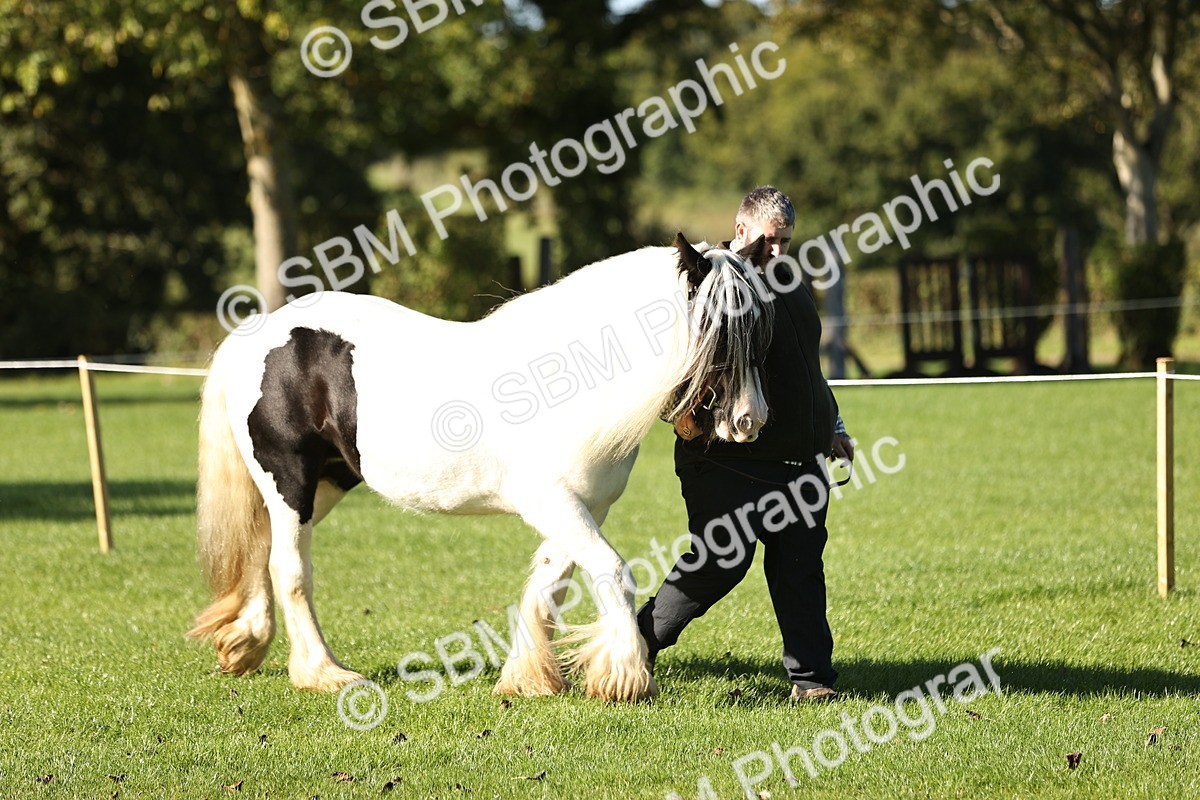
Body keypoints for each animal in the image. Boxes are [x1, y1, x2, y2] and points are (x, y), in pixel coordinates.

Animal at [187, 232, 774, 702]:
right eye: (715, 329)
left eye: (758, 328)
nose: (750, 421)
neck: (568, 379)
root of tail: (259, 336)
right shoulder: (552, 503)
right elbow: (611, 571)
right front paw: (624, 678)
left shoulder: (585, 507)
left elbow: (548, 585)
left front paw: (530, 679)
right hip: (291, 481)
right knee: (291, 569)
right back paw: (323, 673)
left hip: (326, 482)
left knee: (262, 550)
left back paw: (245, 643)